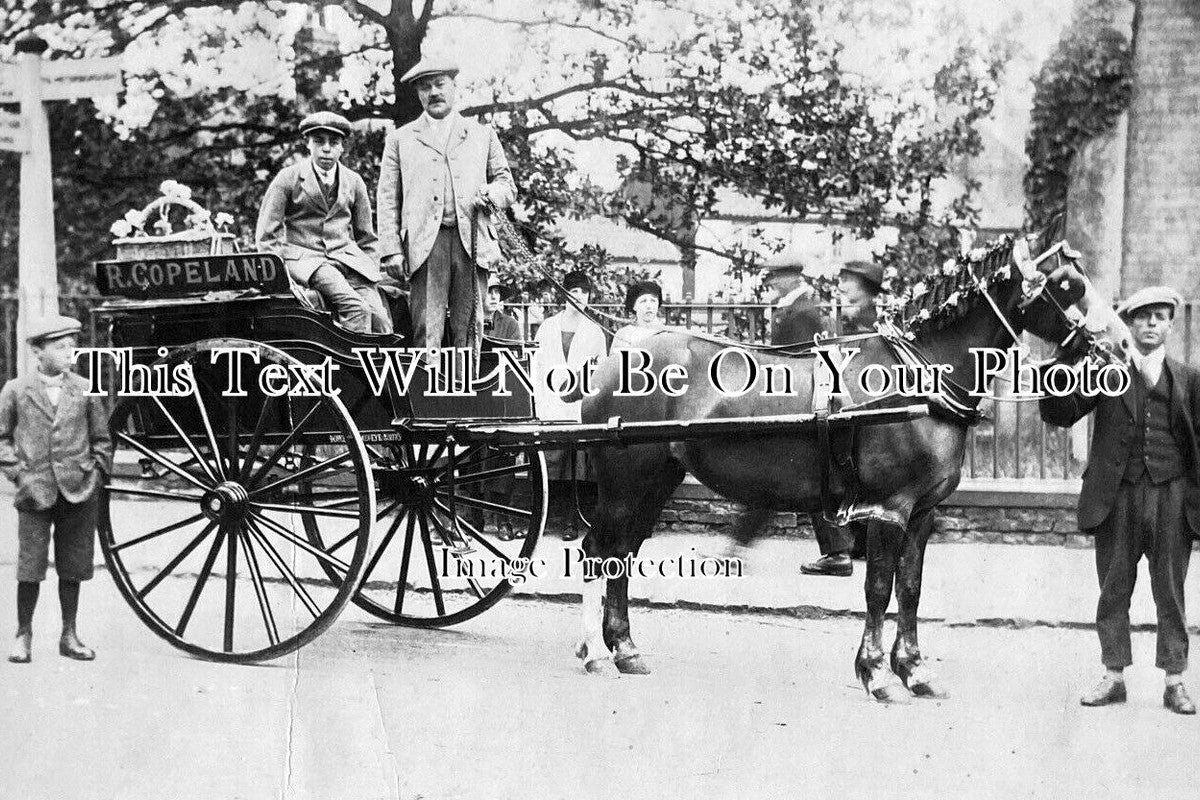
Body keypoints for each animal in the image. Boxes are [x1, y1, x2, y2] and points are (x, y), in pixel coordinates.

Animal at [576, 235, 1128, 705]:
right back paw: (594, 652)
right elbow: (879, 588)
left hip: (655, 481)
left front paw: (915, 671)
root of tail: (621, 349)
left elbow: (910, 588)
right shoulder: (889, 509)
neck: (918, 376)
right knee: (598, 551)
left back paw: (624, 648)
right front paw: (877, 673)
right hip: (625, 482)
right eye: (1068, 285)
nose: (1122, 345)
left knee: (622, 554)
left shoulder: (922, 513)